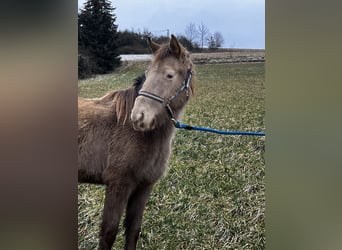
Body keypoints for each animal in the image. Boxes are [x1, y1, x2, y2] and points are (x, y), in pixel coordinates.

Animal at [78, 35, 195, 250]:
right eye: (147, 74)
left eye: (169, 75)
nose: (139, 117)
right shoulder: (118, 185)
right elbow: (108, 233)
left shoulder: (144, 187)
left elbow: (133, 229)